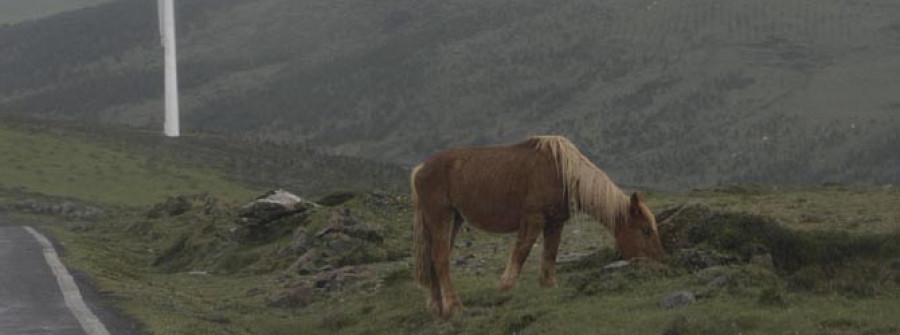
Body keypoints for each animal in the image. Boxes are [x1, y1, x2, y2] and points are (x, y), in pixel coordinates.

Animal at [412, 136, 664, 318]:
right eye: (645, 230)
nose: (659, 263)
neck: (563, 172)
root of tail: (420, 168)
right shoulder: (533, 219)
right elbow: (521, 252)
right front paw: (505, 287)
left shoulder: (555, 223)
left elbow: (550, 253)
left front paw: (548, 284)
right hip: (441, 217)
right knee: (441, 259)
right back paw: (454, 307)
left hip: (453, 220)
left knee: (433, 259)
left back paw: (437, 307)